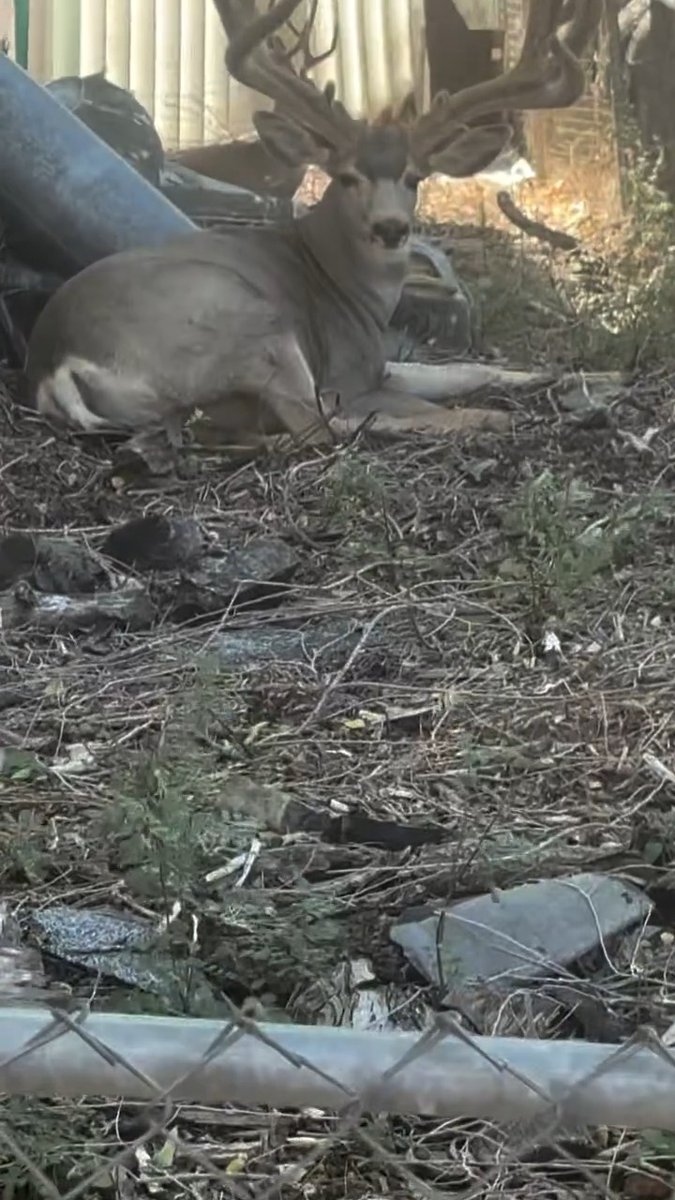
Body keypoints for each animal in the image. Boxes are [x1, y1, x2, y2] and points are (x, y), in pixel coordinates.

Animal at [25, 0, 602, 464]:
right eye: (346, 176)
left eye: (415, 177)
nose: (391, 227)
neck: (349, 291)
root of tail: (57, 361)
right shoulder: (349, 370)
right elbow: (417, 396)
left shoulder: (380, 363)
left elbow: (463, 368)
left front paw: (554, 375)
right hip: (251, 326)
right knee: (317, 425)